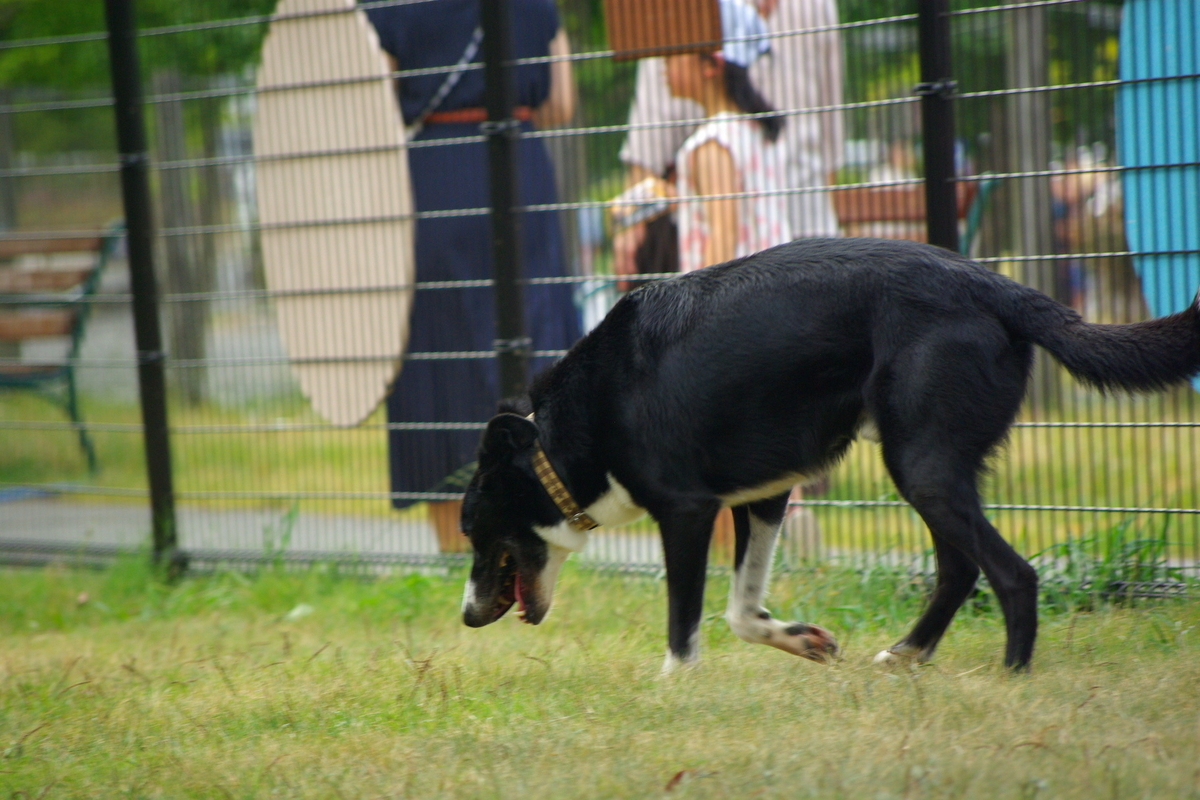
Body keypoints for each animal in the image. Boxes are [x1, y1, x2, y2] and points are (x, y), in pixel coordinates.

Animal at [453, 237, 1195, 671]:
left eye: (471, 529)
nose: (464, 616)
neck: (574, 427)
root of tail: (1000, 287)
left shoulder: (687, 513)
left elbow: (685, 627)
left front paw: (673, 689)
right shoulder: (764, 496)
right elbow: (741, 610)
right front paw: (801, 639)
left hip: (921, 466)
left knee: (1012, 573)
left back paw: (1013, 675)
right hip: (930, 470)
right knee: (960, 567)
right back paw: (908, 653)